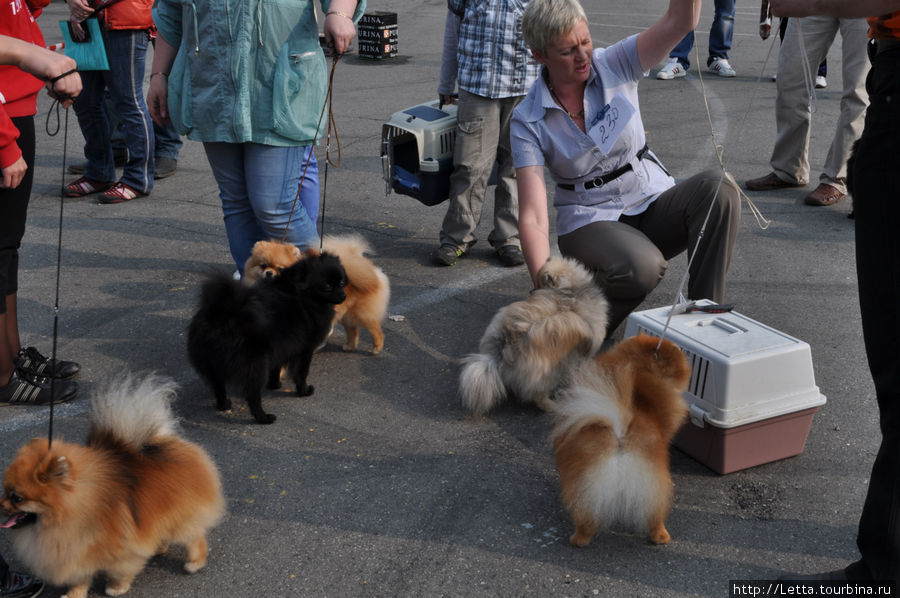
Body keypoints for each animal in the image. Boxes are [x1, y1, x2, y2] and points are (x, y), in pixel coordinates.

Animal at [0, 376, 225, 598]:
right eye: (4, 491)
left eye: (17, 497)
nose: (0, 504)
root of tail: (161, 442)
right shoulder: (76, 550)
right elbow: (80, 576)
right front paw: (75, 593)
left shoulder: (121, 547)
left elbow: (119, 570)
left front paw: (116, 588)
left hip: (182, 516)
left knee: (194, 537)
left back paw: (194, 562)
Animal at [188, 253, 346, 426]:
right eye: (327, 286)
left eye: (342, 282)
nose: (343, 295)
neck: (302, 293)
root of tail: (222, 315)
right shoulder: (305, 349)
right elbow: (301, 373)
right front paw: (303, 391)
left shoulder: (282, 346)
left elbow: (276, 368)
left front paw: (275, 385)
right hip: (256, 365)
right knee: (252, 395)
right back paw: (263, 418)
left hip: (213, 364)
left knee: (218, 386)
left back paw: (223, 405)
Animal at [244, 236, 388, 356]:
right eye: (263, 266)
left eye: (280, 269)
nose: (268, 272)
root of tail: (373, 272)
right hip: (346, 314)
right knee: (353, 330)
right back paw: (349, 346)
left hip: (362, 313)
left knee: (375, 329)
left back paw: (377, 348)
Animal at [548, 336, 688, 552]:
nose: (681, 350)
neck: (641, 371)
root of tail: (620, 431)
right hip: (655, 486)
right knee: (654, 515)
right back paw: (660, 537)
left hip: (586, 483)